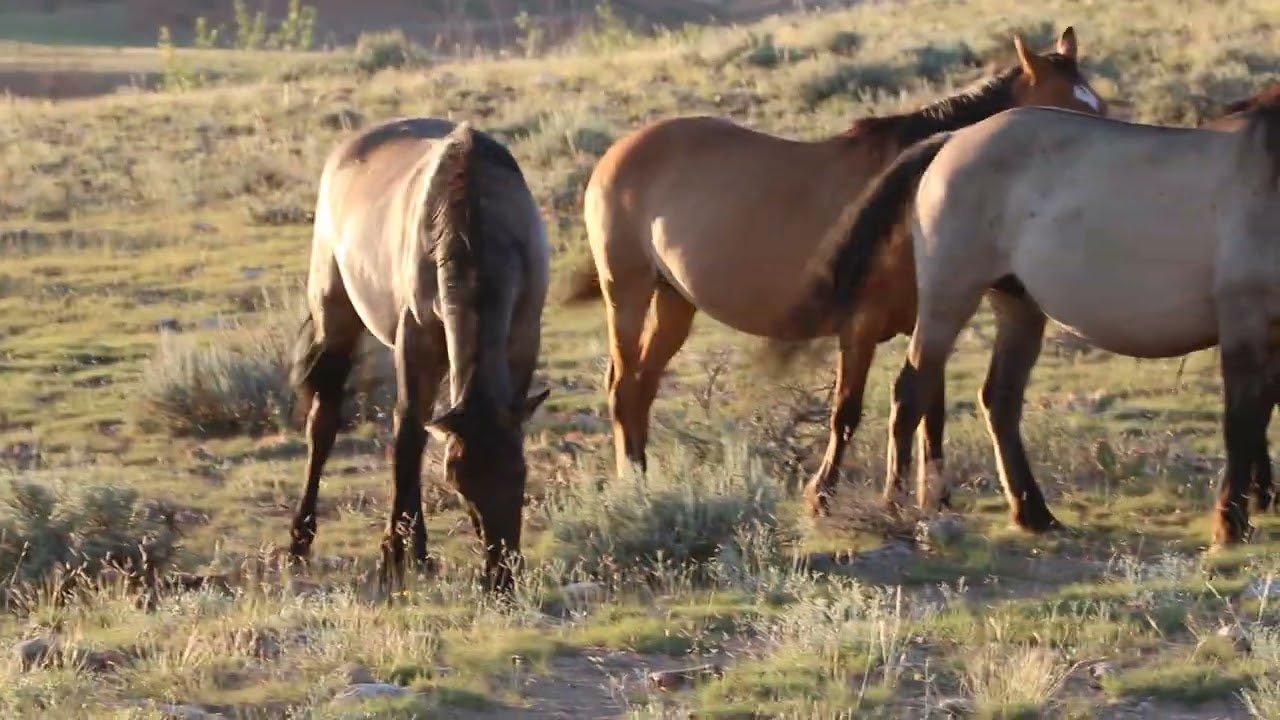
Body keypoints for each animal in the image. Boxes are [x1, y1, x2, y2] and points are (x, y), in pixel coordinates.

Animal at [287, 118, 551, 593]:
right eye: (459, 482)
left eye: (520, 473)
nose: (500, 576)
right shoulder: (416, 340)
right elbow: (407, 436)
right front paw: (392, 555)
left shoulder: (523, 340)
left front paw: (409, 550)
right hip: (335, 316)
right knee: (323, 425)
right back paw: (301, 543)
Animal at [562, 26, 1108, 514]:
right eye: (1066, 112)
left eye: (1098, 107)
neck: (915, 192)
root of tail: (619, 149)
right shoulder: (860, 326)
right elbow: (847, 411)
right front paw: (822, 494)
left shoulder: (930, 320)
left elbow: (928, 408)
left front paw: (934, 496)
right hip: (627, 291)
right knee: (622, 385)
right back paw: (632, 485)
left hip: (674, 300)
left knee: (643, 385)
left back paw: (642, 477)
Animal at [769, 97, 1280, 547]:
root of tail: (952, 139)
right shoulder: (1245, 320)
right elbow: (1243, 421)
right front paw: (1231, 522)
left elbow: (1262, 416)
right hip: (949, 296)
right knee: (911, 391)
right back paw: (893, 505)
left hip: (1019, 306)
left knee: (999, 399)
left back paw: (1033, 513)